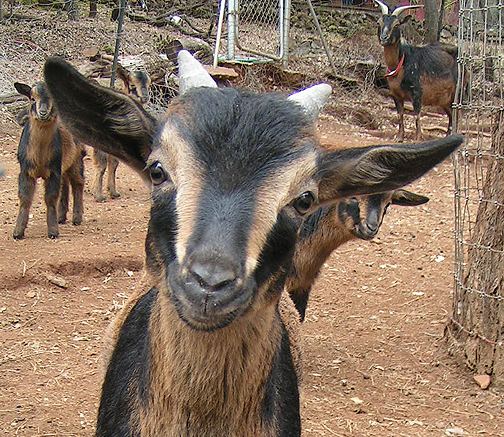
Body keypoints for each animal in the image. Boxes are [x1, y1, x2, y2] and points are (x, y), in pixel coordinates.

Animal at [11, 81, 84, 238]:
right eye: (32, 98)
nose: (43, 112)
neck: (40, 158)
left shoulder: (53, 170)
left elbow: (50, 198)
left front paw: (53, 232)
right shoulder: (25, 171)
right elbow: (25, 198)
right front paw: (18, 232)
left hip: (77, 156)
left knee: (78, 182)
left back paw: (76, 218)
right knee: (65, 183)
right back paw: (61, 217)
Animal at [92, 65, 152, 202]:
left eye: (149, 84)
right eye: (132, 85)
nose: (145, 97)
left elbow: (114, 163)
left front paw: (113, 192)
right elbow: (102, 165)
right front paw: (99, 196)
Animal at [374, 0, 460, 141]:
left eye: (396, 24)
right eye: (378, 22)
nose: (384, 38)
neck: (401, 63)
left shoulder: (417, 93)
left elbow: (417, 116)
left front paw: (418, 138)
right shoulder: (395, 95)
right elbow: (400, 114)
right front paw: (399, 137)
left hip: (457, 93)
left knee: (457, 114)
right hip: (444, 99)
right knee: (451, 115)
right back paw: (448, 136)